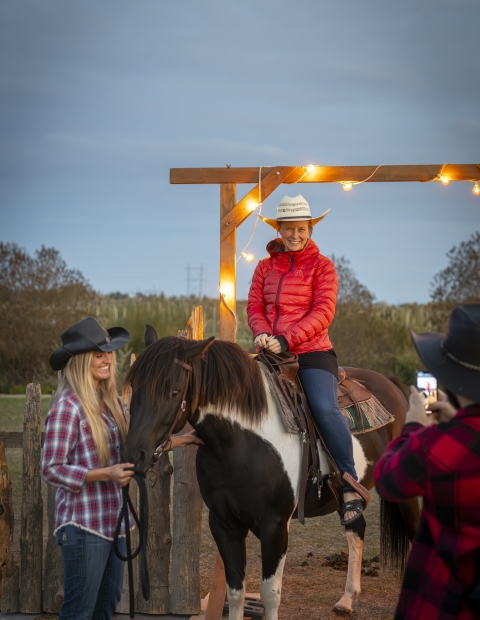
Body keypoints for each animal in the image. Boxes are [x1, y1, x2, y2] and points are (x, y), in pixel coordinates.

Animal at [124, 334, 420, 620]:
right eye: (134, 387)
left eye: (174, 391)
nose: (135, 454)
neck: (241, 441)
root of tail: (393, 386)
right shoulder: (224, 525)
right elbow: (235, 593)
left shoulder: (275, 527)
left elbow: (270, 595)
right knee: (356, 528)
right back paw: (346, 601)